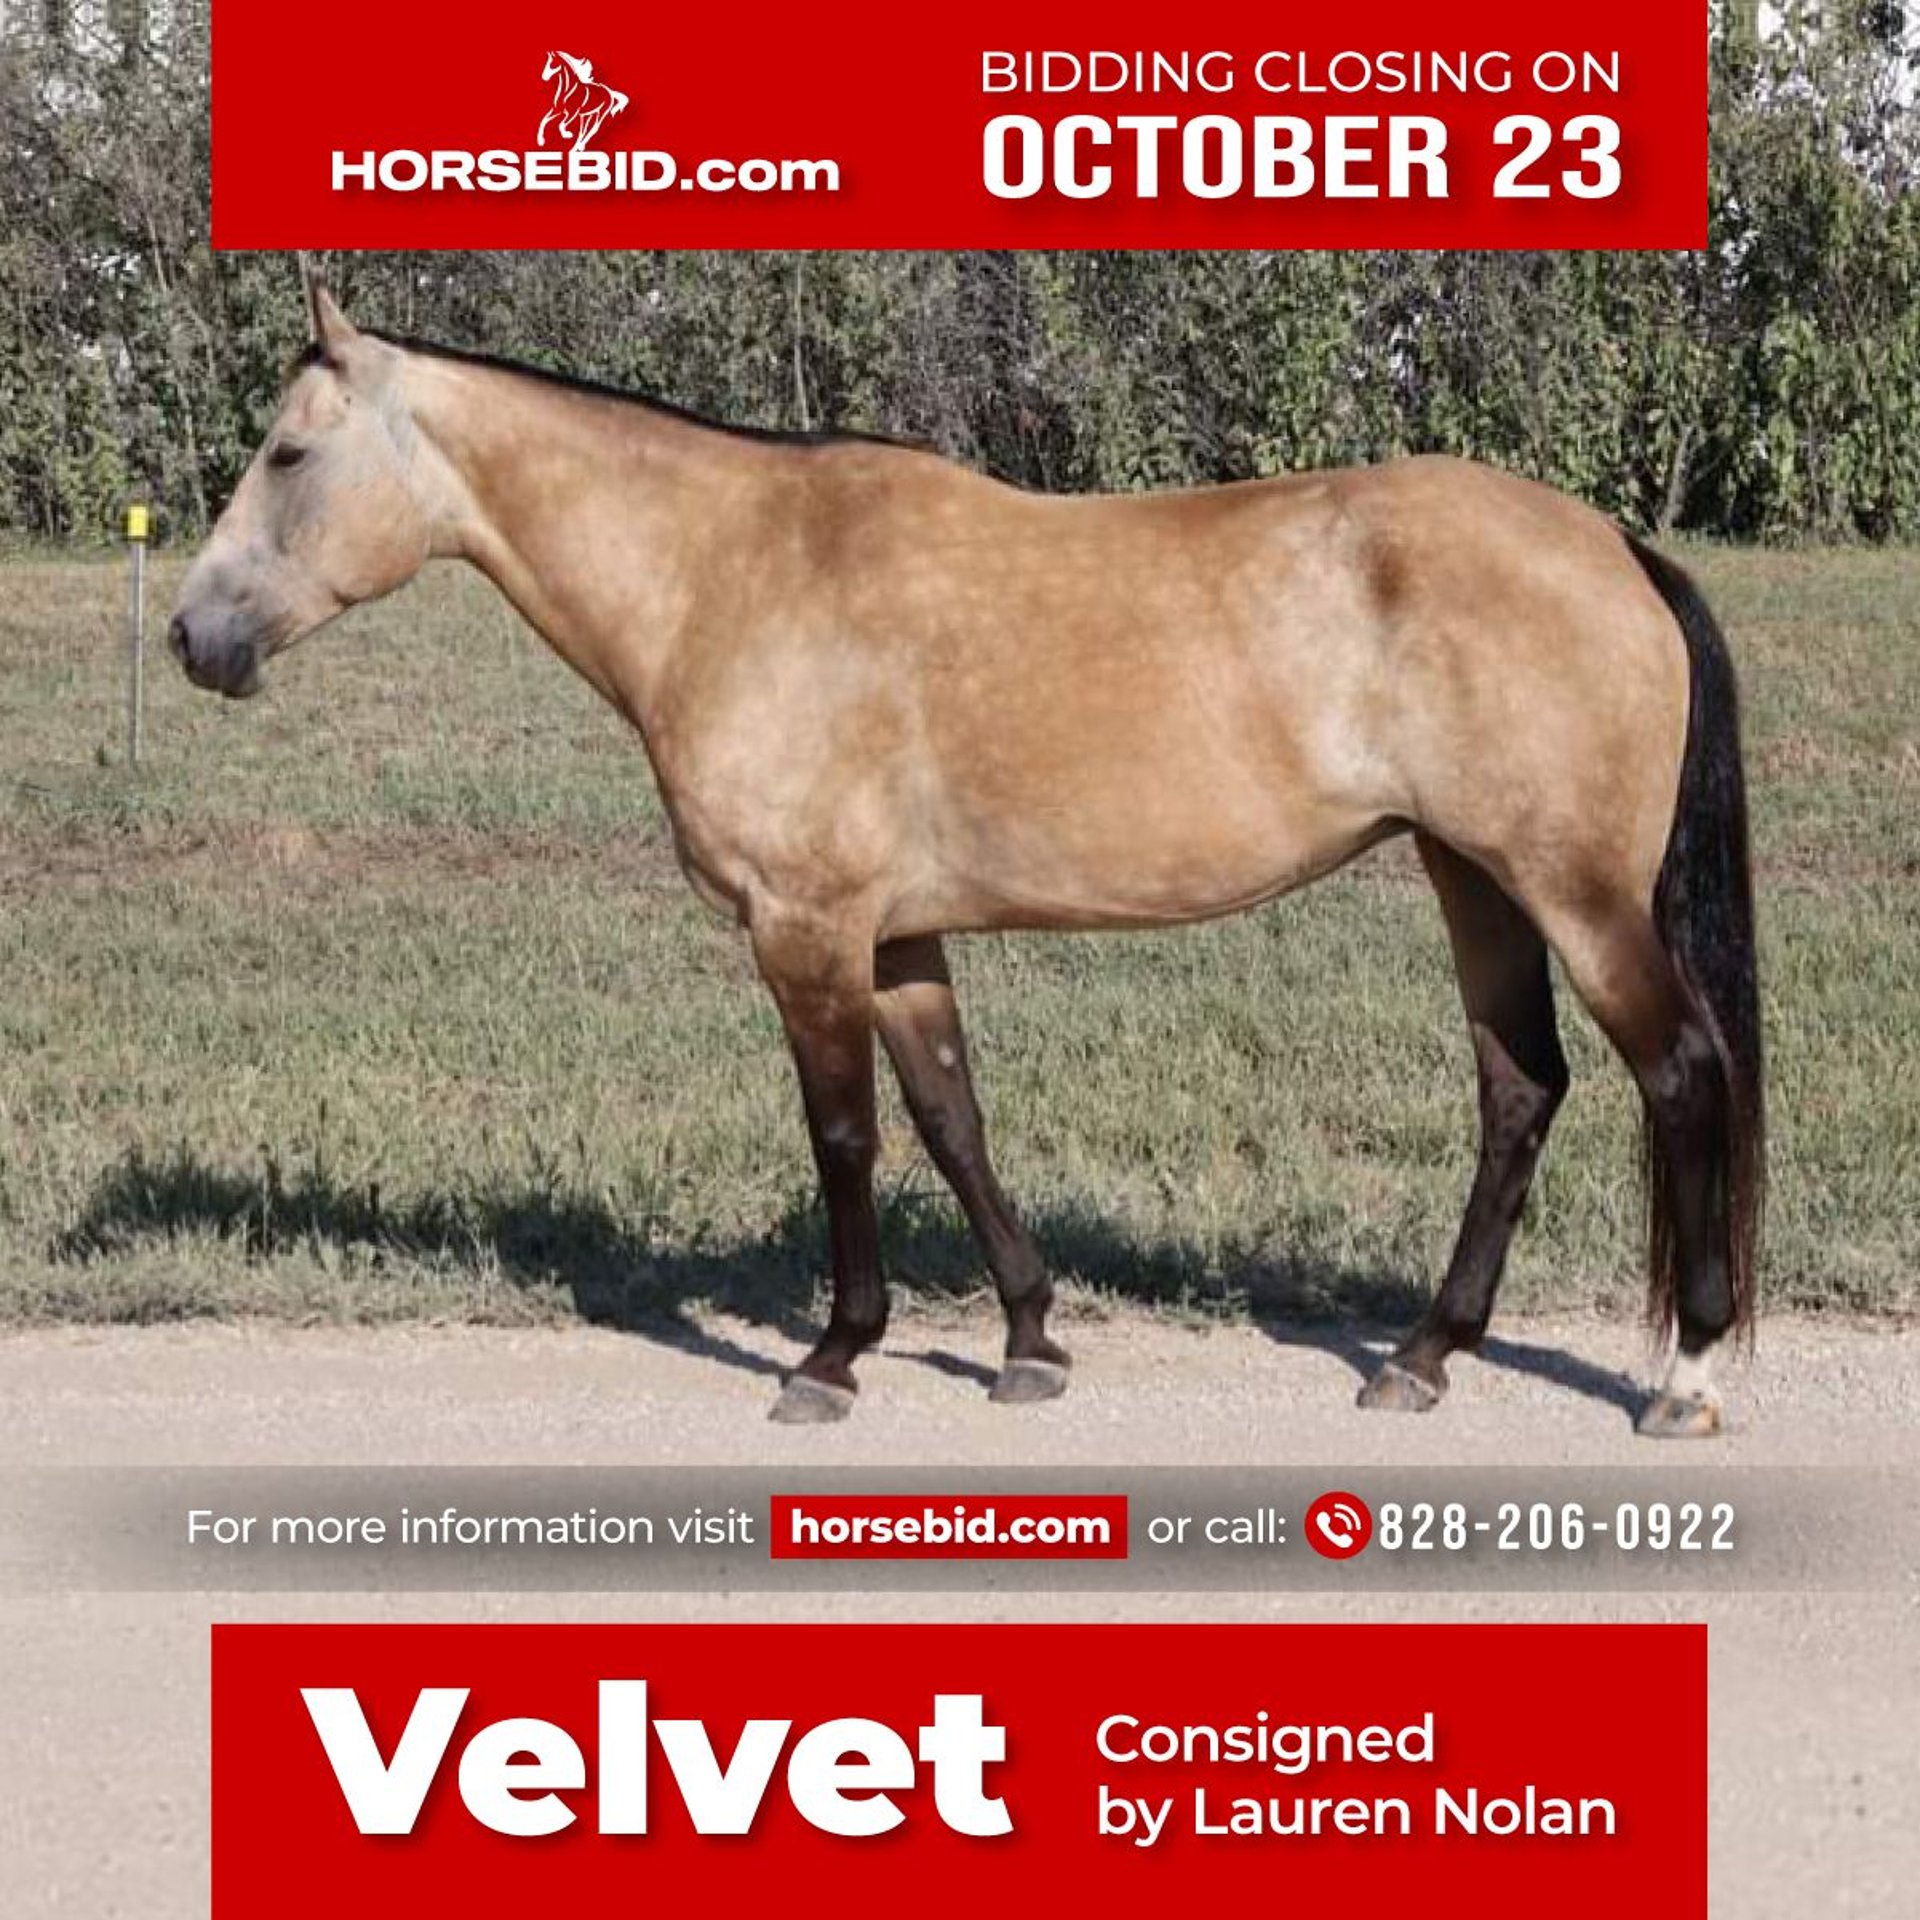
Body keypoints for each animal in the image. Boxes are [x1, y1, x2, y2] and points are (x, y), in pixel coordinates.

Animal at [168, 284, 1764, 1433]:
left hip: (1573, 893)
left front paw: (833, 1358)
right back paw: (1424, 1354)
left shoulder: (805, 929)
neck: (733, 577)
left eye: (287, 454)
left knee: (1682, 1074)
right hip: (1470, 874)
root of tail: (1615, 549)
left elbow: (846, 1136)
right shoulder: (897, 938)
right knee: (1521, 1090)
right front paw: (1030, 1340)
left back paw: (1685, 1375)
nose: (194, 637)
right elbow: (952, 1121)